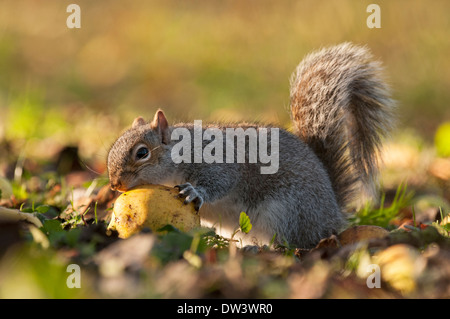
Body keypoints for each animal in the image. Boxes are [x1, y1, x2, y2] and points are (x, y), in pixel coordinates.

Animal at [107, 42, 396, 249]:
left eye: (142, 152)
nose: (115, 185)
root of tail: (332, 214)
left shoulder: (218, 160)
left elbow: (221, 182)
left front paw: (195, 192)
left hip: (289, 212)